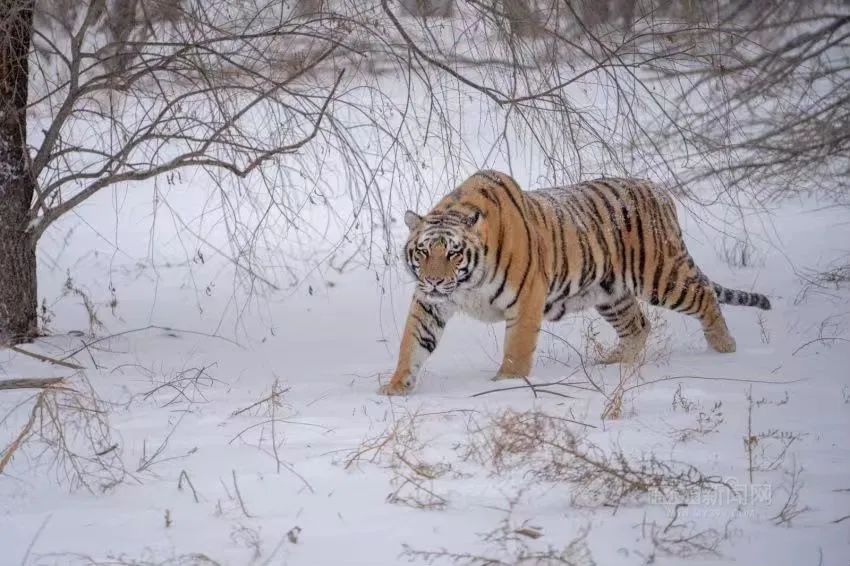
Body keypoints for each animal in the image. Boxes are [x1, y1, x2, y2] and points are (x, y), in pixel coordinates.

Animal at [378, 171, 768, 398]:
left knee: (704, 295)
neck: (466, 284)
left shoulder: (526, 300)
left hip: (660, 275)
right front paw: (396, 387)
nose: (433, 280)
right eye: (424, 252)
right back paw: (615, 364)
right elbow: (412, 344)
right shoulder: (431, 304)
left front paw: (506, 387)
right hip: (611, 292)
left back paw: (724, 346)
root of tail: (659, 191)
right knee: (638, 325)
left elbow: (516, 350)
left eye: (454, 253)